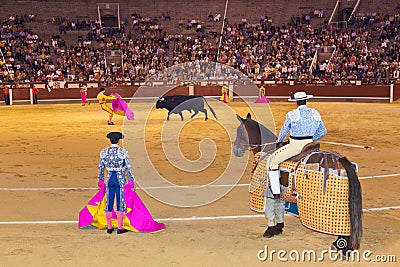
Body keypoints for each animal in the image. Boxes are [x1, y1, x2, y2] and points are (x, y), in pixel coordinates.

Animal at [231, 113, 362, 255]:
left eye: (239, 131)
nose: (236, 150)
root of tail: (339, 159)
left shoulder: (268, 193)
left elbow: (270, 212)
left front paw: (269, 231)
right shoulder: (280, 192)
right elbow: (279, 209)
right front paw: (279, 228)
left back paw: (341, 246)